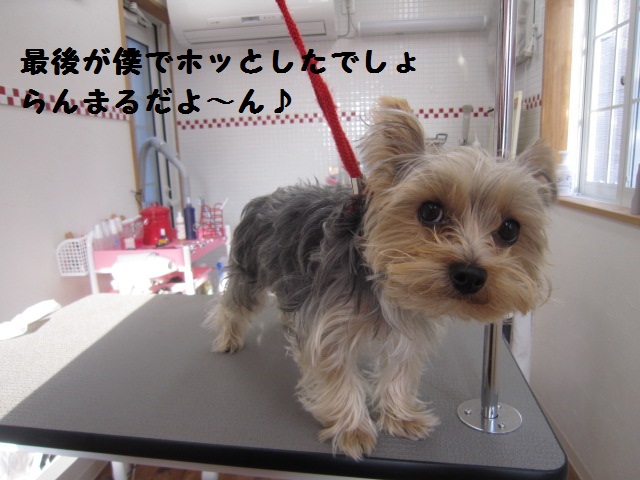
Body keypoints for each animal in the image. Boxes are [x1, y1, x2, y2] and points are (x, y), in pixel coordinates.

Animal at [207, 97, 557, 459]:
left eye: (510, 229)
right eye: (430, 211)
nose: (470, 274)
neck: (380, 284)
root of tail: (264, 197)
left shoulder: (409, 325)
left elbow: (400, 370)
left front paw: (401, 417)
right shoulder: (326, 328)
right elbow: (337, 374)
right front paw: (353, 429)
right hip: (249, 268)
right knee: (233, 304)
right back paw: (228, 338)